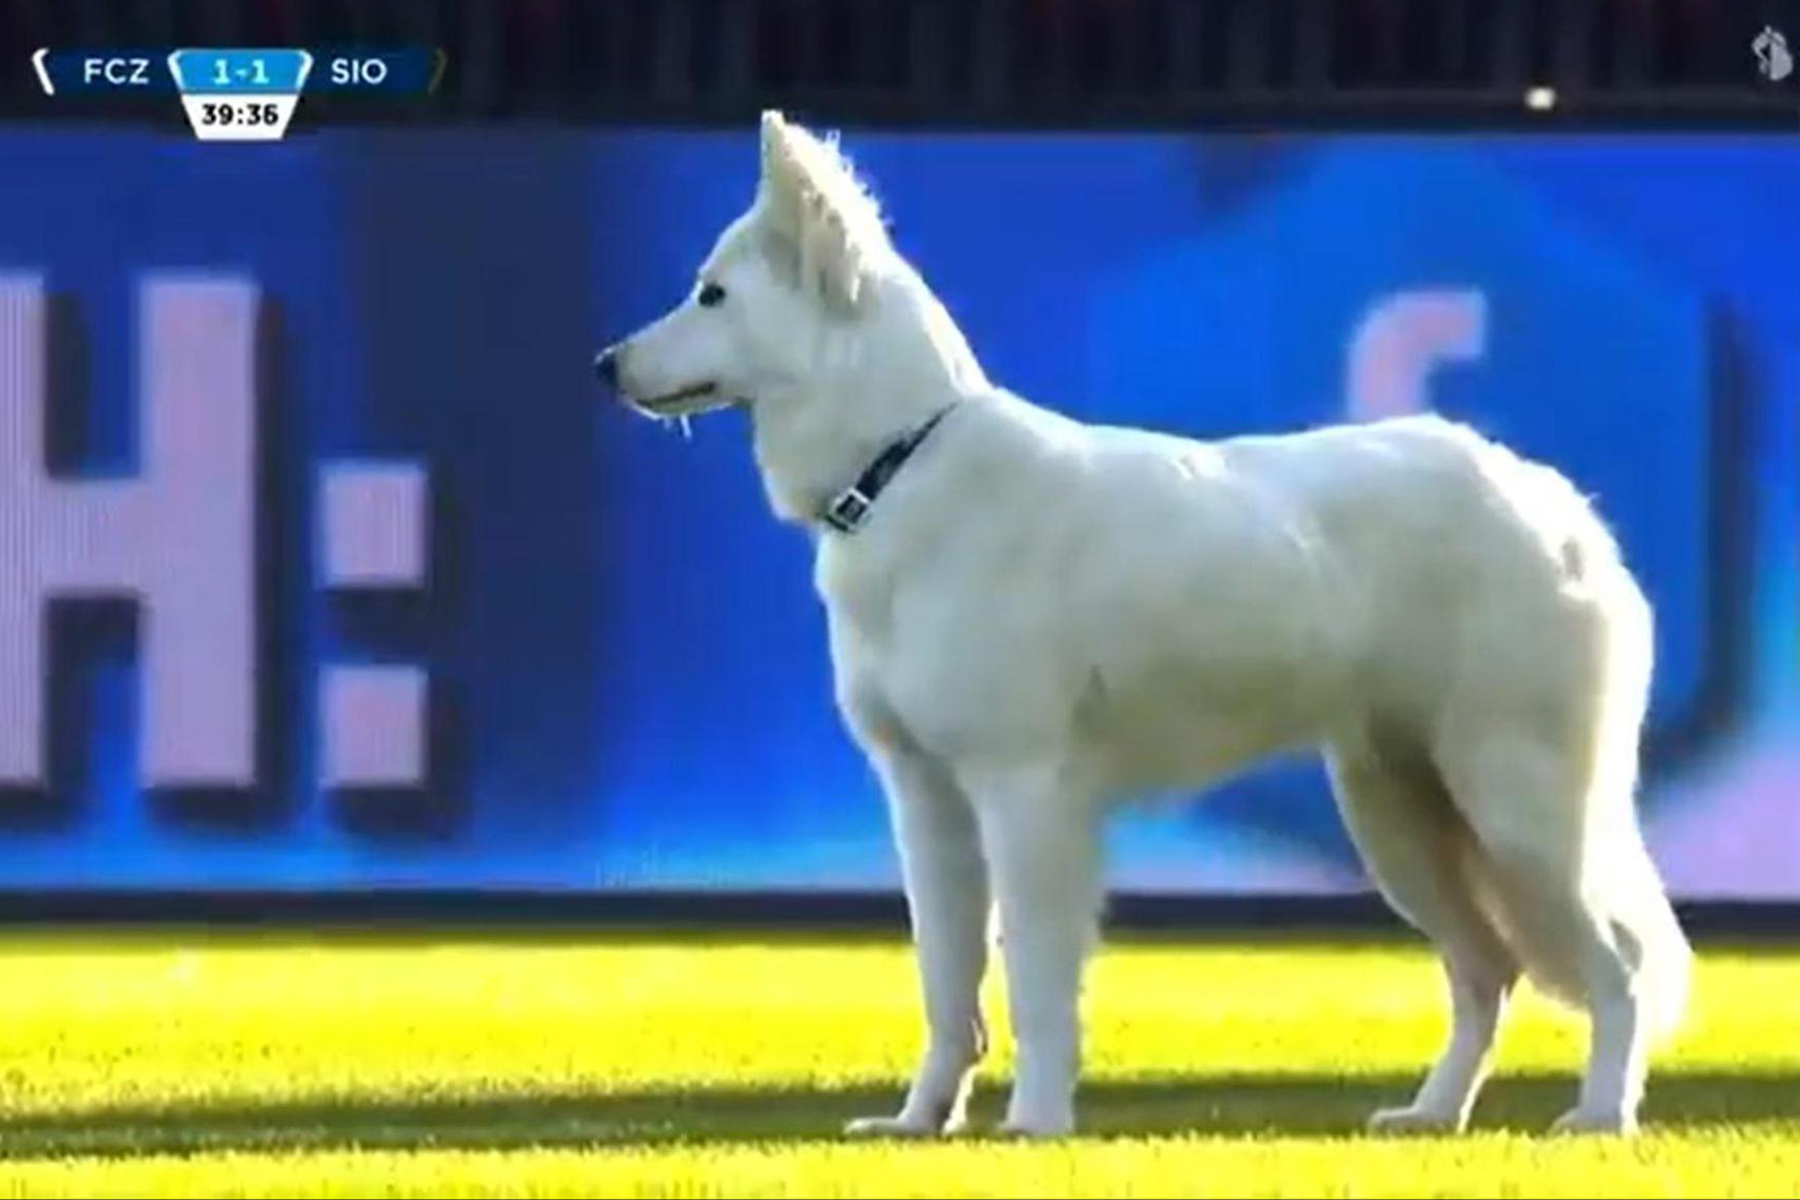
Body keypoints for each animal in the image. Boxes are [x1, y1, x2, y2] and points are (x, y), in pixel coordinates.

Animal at [597, 110, 1692, 1137]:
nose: (604, 363)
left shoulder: (1026, 796)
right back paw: (1432, 1114)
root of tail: (1552, 498)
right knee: (1488, 973)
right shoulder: (928, 803)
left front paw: (1036, 1125)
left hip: (1519, 810)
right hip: (1402, 820)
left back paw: (1601, 1115)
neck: (901, 457)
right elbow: (948, 991)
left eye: (711, 295)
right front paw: (920, 1123)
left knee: (1620, 969)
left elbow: (1036, 984)